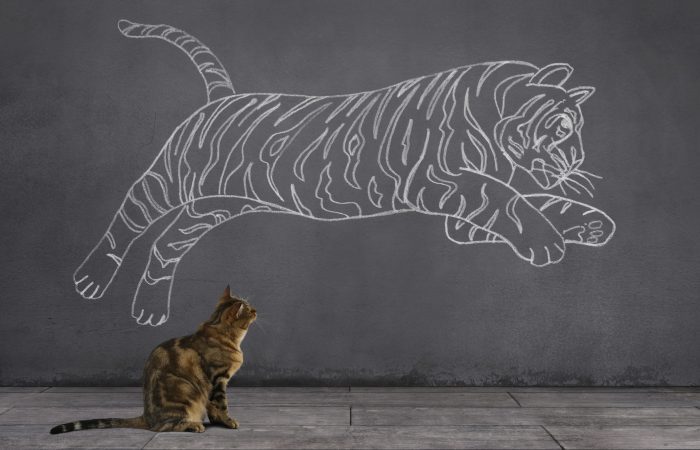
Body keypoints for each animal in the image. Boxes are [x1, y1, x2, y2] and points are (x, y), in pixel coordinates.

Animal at [73, 20, 615, 326]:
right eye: (563, 128)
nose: (578, 162)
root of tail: (222, 97)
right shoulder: (443, 181)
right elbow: (511, 201)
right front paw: (547, 242)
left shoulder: (459, 216)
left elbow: (532, 202)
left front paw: (592, 223)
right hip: (169, 183)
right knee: (128, 219)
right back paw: (90, 279)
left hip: (216, 205)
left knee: (167, 244)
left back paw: (149, 309)